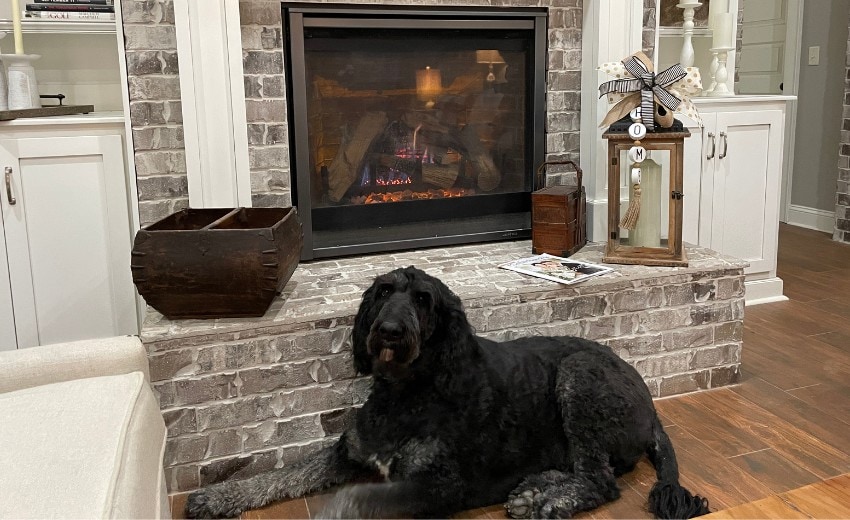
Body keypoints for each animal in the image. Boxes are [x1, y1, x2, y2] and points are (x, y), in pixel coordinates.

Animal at [186, 266, 708, 516]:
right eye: (382, 292)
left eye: (424, 300)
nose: (390, 331)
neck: (406, 391)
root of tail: (650, 407)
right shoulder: (351, 453)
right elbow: (284, 473)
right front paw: (218, 498)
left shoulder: (440, 484)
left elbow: (359, 499)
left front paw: (335, 512)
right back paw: (536, 487)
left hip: (579, 377)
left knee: (602, 481)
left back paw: (545, 501)